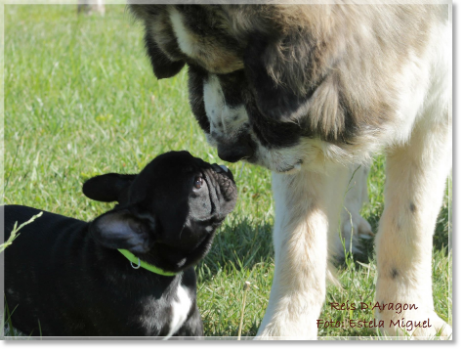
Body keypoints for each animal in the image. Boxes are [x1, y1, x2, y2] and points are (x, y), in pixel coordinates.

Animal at [130, 2, 454, 338]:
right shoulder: (303, 135)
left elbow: (408, 225)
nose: (227, 151)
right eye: (195, 68)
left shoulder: (435, 109)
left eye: (243, 72)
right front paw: (285, 330)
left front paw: (408, 322)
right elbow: (299, 242)